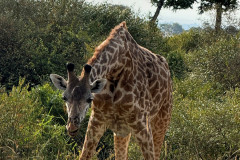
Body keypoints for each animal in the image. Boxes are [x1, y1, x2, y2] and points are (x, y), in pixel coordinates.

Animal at [49, 21, 172, 160]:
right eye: (64, 97)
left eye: (89, 99)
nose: (72, 127)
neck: (116, 69)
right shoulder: (96, 121)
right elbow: (84, 156)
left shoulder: (142, 126)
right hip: (122, 131)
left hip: (161, 120)